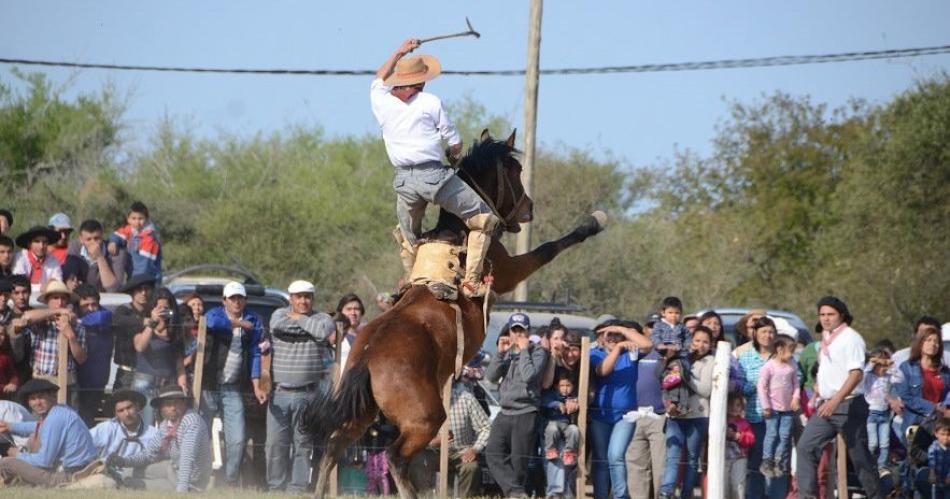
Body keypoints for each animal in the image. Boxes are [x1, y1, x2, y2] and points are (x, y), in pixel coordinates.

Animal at [302, 130, 608, 499]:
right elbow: (548, 249)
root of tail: (369, 355)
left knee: (335, 445)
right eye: (516, 170)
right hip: (424, 417)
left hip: (363, 410)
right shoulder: (508, 270)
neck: (458, 230)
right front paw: (593, 222)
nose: (529, 208)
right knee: (395, 456)